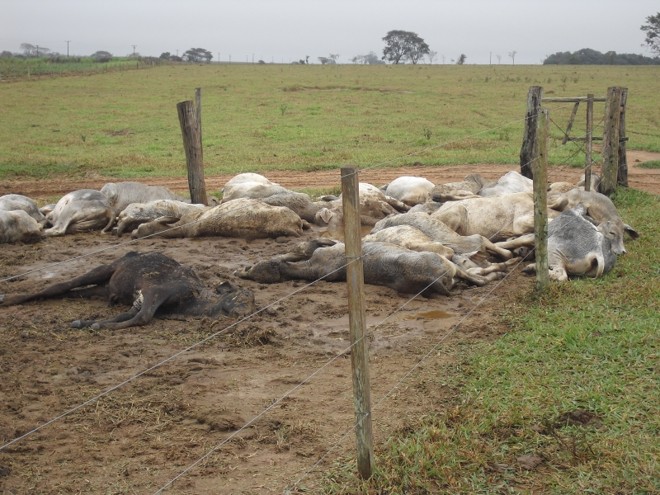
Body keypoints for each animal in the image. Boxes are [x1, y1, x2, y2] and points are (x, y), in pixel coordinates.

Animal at [0, 252, 255, 330]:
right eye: (245, 296)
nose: (249, 313)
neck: (192, 301)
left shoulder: (141, 300)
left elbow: (128, 315)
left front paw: (86, 322)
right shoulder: (156, 291)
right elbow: (143, 317)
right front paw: (98, 325)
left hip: (101, 289)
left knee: (70, 292)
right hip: (104, 269)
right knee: (60, 285)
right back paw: (8, 298)